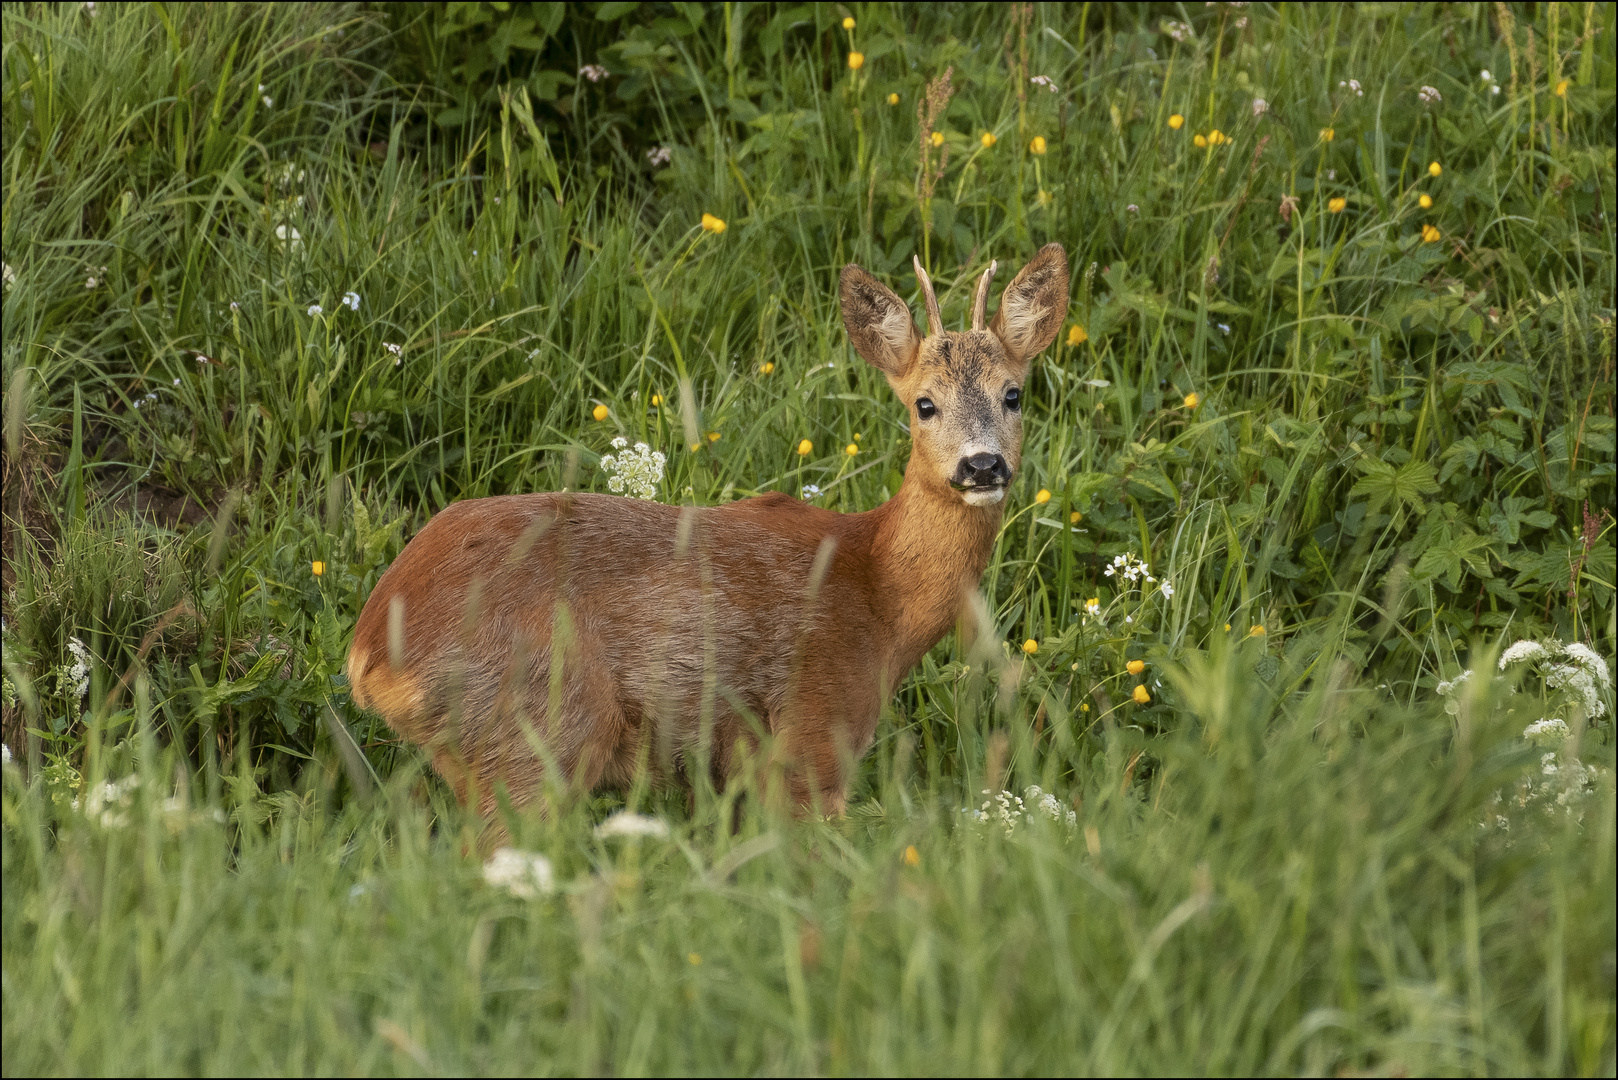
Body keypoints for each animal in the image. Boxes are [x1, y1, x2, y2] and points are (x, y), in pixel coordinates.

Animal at [347, 242, 1067, 819]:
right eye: (924, 404)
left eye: (1013, 394)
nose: (982, 465)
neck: (876, 590)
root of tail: (368, 648)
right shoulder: (813, 732)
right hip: (532, 730)